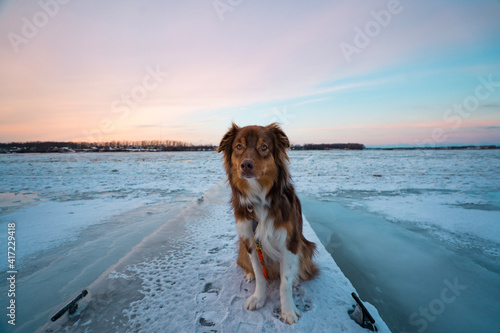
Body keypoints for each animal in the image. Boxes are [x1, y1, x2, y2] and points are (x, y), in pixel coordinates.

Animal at [218, 122, 318, 324]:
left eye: (263, 147)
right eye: (238, 146)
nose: (246, 165)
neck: (259, 197)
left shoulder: (290, 241)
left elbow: (284, 282)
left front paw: (288, 310)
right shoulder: (250, 240)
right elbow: (259, 274)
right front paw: (259, 297)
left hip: (306, 245)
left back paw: (296, 279)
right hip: (241, 247)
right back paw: (249, 274)